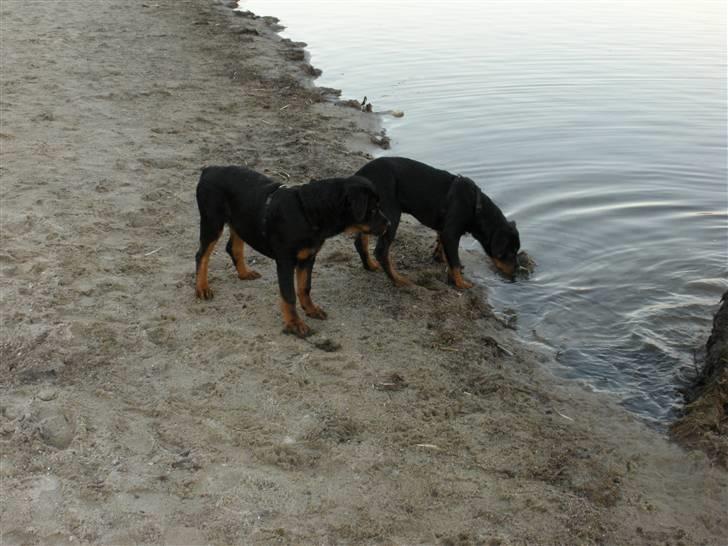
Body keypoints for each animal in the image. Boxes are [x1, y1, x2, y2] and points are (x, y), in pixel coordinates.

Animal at [192, 165, 386, 336]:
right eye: (372, 209)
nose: (388, 224)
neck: (307, 212)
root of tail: (209, 169)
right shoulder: (285, 261)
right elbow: (289, 295)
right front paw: (295, 324)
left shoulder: (308, 257)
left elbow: (304, 287)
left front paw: (311, 310)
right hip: (212, 222)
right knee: (202, 255)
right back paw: (202, 288)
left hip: (240, 221)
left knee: (233, 247)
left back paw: (244, 273)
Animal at [354, 155, 520, 286]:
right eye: (510, 252)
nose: (516, 272)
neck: (476, 208)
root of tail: (361, 174)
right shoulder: (451, 234)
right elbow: (455, 262)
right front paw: (461, 284)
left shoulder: (444, 230)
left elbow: (444, 248)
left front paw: (440, 259)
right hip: (390, 215)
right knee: (381, 251)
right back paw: (398, 280)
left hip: (373, 215)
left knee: (360, 242)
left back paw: (370, 266)